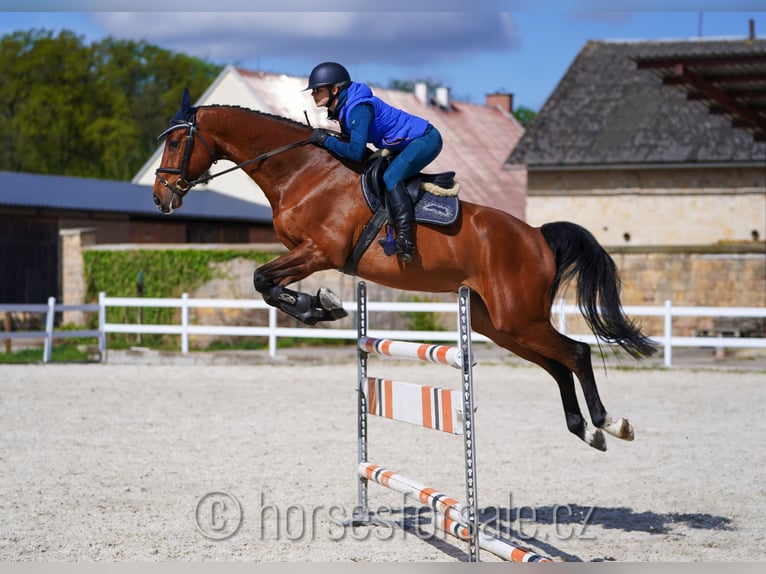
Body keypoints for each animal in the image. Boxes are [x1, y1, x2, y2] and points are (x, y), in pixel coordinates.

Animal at [153, 88, 656, 452]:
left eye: (176, 141)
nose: (161, 197)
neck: (301, 169)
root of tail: (536, 235)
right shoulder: (302, 252)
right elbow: (268, 285)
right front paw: (322, 305)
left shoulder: (321, 251)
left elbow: (263, 279)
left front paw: (322, 306)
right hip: (499, 323)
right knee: (557, 366)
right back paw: (585, 430)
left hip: (519, 317)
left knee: (577, 354)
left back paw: (611, 423)